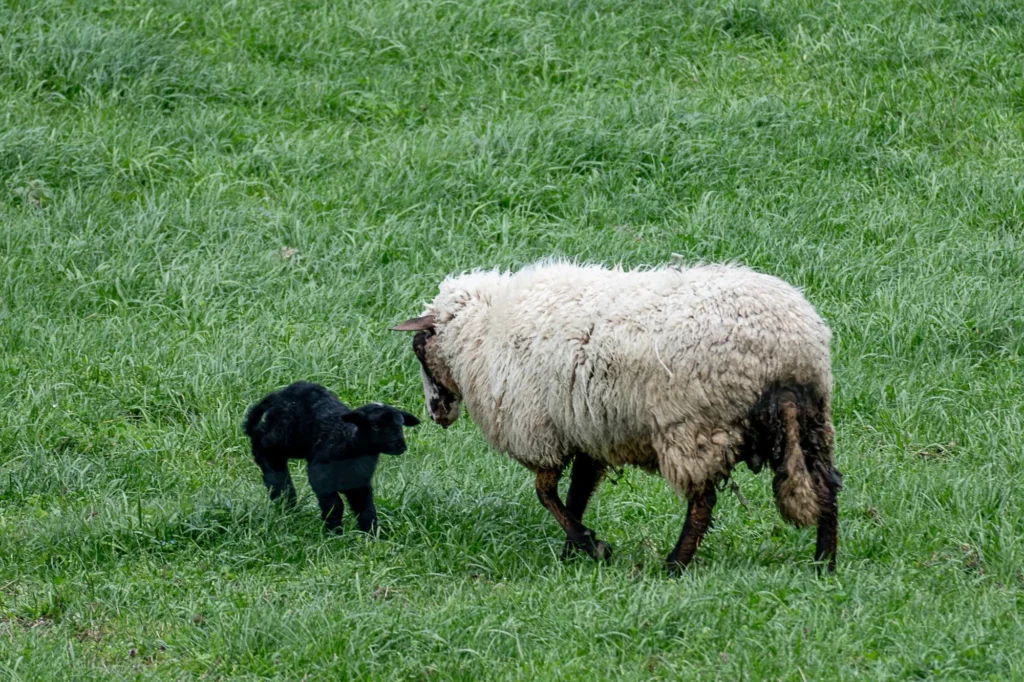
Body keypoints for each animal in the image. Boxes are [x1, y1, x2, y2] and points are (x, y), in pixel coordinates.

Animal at [243, 381, 420, 534]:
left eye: (400, 425)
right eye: (376, 426)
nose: (401, 446)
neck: (349, 442)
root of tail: (282, 393)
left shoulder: (359, 482)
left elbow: (366, 508)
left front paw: (371, 536)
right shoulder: (320, 474)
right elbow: (335, 505)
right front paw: (335, 532)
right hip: (284, 437)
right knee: (264, 445)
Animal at [393, 260, 842, 572]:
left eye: (418, 347)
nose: (436, 413)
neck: (484, 329)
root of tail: (786, 354)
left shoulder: (542, 433)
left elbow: (546, 495)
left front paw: (590, 545)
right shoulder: (585, 431)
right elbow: (576, 494)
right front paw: (574, 552)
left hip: (696, 428)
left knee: (702, 504)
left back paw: (674, 565)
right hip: (814, 421)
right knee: (827, 486)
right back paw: (825, 563)